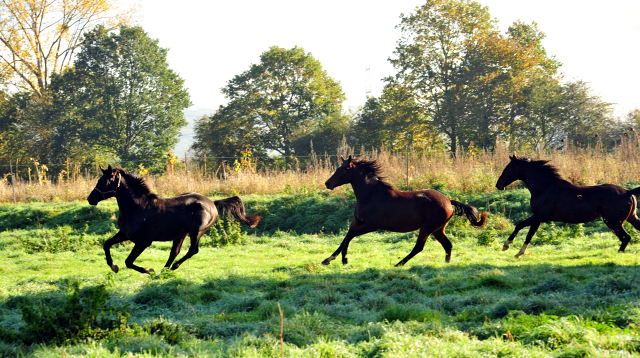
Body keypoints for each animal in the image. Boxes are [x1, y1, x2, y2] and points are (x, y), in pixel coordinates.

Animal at [87, 166, 260, 274]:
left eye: (104, 181)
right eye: (98, 180)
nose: (90, 199)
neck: (137, 208)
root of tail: (212, 203)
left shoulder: (143, 242)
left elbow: (128, 262)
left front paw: (149, 270)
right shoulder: (125, 234)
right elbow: (106, 244)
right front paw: (113, 266)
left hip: (196, 231)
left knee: (192, 251)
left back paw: (170, 268)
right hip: (181, 234)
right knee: (174, 252)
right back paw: (164, 270)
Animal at [322, 155, 488, 268]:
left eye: (343, 169)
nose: (327, 183)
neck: (371, 194)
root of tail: (448, 201)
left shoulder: (371, 225)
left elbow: (349, 237)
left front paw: (344, 260)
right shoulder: (356, 222)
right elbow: (345, 237)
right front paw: (327, 259)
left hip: (427, 228)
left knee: (419, 247)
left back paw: (398, 264)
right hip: (438, 229)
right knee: (448, 245)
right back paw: (446, 264)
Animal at [498, 154, 640, 258]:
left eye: (509, 168)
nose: (498, 185)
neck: (544, 187)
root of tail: (628, 192)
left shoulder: (539, 216)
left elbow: (520, 225)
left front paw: (506, 246)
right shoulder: (538, 218)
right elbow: (529, 234)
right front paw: (519, 253)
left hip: (613, 221)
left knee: (626, 237)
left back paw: (618, 254)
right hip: (630, 218)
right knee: (628, 235)